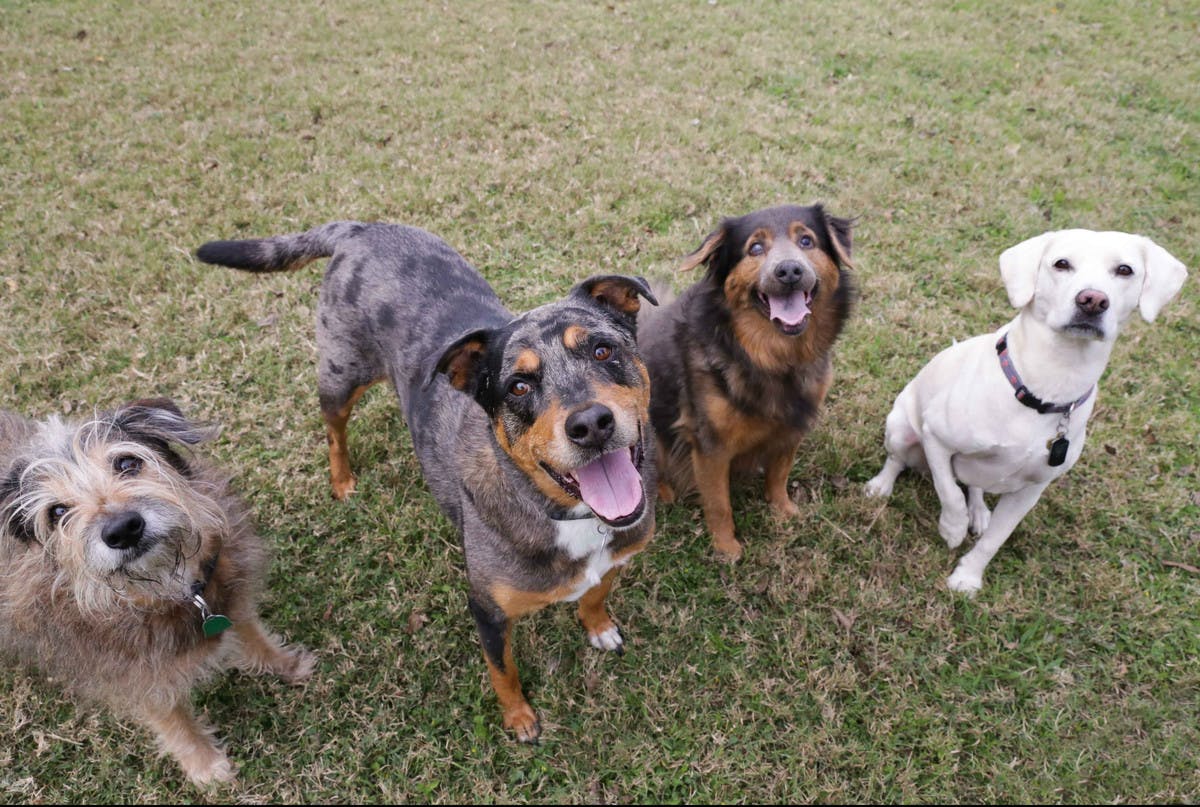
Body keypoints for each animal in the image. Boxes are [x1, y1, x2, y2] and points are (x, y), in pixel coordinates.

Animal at [0, 401, 314, 782]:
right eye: (57, 511)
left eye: (127, 463)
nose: (122, 529)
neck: (172, 589)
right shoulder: (138, 674)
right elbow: (171, 719)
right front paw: (205, 765)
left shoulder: (228, 598)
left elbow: (252, 634)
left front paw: (286, 664)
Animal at [864, 230, 1190, 595]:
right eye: (1061, 264)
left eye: (1124, 270)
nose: (1092, 300)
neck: (1049, 385)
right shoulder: (936, 438)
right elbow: (949, 492)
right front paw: (952, 528)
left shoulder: (1031, 491)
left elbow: (994, 539)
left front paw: (968, 577)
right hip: (901, 429)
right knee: (899, 461)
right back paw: (881, 488)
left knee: (974, 486)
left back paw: (979, 511)